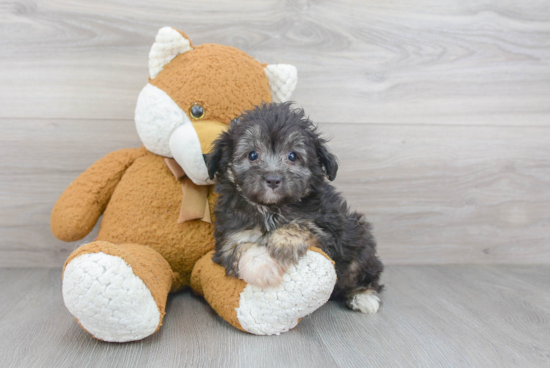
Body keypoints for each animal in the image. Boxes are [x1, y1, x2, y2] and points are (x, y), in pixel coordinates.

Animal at [206, 103, 384, 314]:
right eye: (252, 155)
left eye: (292, 156)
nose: (273, 179)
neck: (271, 209)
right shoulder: (230, 238)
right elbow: (242, 248)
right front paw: (265, 268)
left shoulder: (330, 230)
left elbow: (302, 224)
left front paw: (283, 245)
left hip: (359, 241)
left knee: (364, 272)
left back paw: (364, 296)